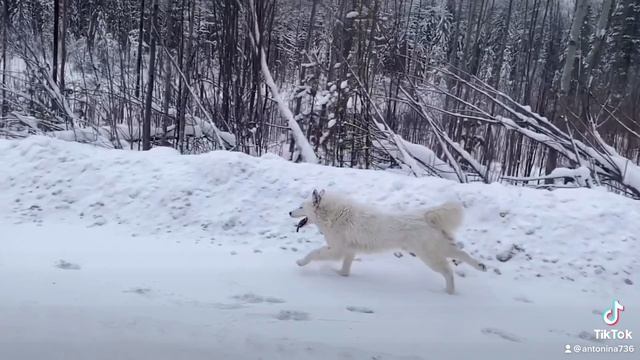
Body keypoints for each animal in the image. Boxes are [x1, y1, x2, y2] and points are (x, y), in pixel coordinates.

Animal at [288, 190, 488, 294]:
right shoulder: (349, 251)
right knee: (461, 254)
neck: (334, 215)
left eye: (300, 206)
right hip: (438, 248)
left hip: (429, 256)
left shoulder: (337, 249)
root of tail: (425, 216)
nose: (289, 212)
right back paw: (480, 266)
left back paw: (450, 291)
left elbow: (314, 253)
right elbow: (345, 270)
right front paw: (339, 274)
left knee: (448, 271)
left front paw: (301, 262)